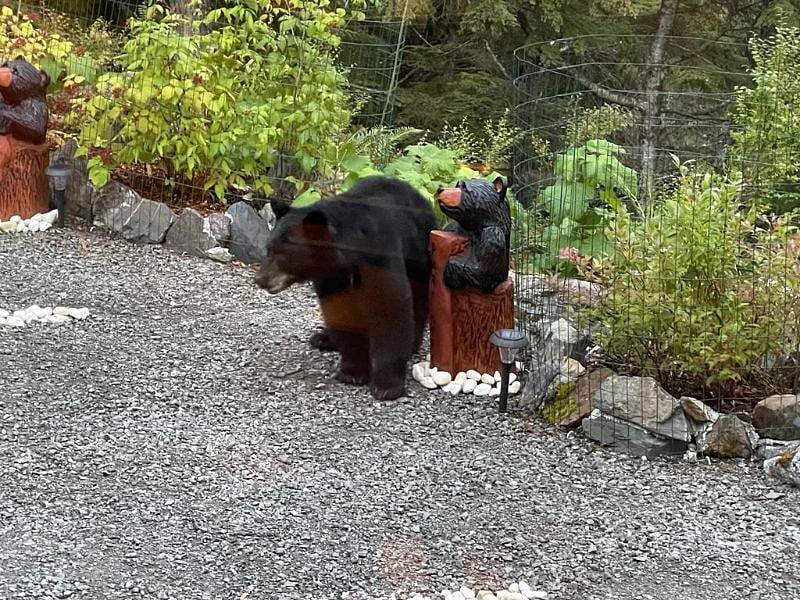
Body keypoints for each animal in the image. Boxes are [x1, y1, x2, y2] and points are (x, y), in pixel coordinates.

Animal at [255, 175, 437, 400]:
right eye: (268, 248)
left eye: (282, 254)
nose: (260, 279)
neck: (348, 255)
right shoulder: (332, 277)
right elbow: (341, 314)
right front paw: (353, 372)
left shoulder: (379, 257)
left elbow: (390, 308)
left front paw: (387, 386)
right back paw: (323, 338)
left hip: (419, 252)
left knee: (419, 300)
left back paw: (412, 343)